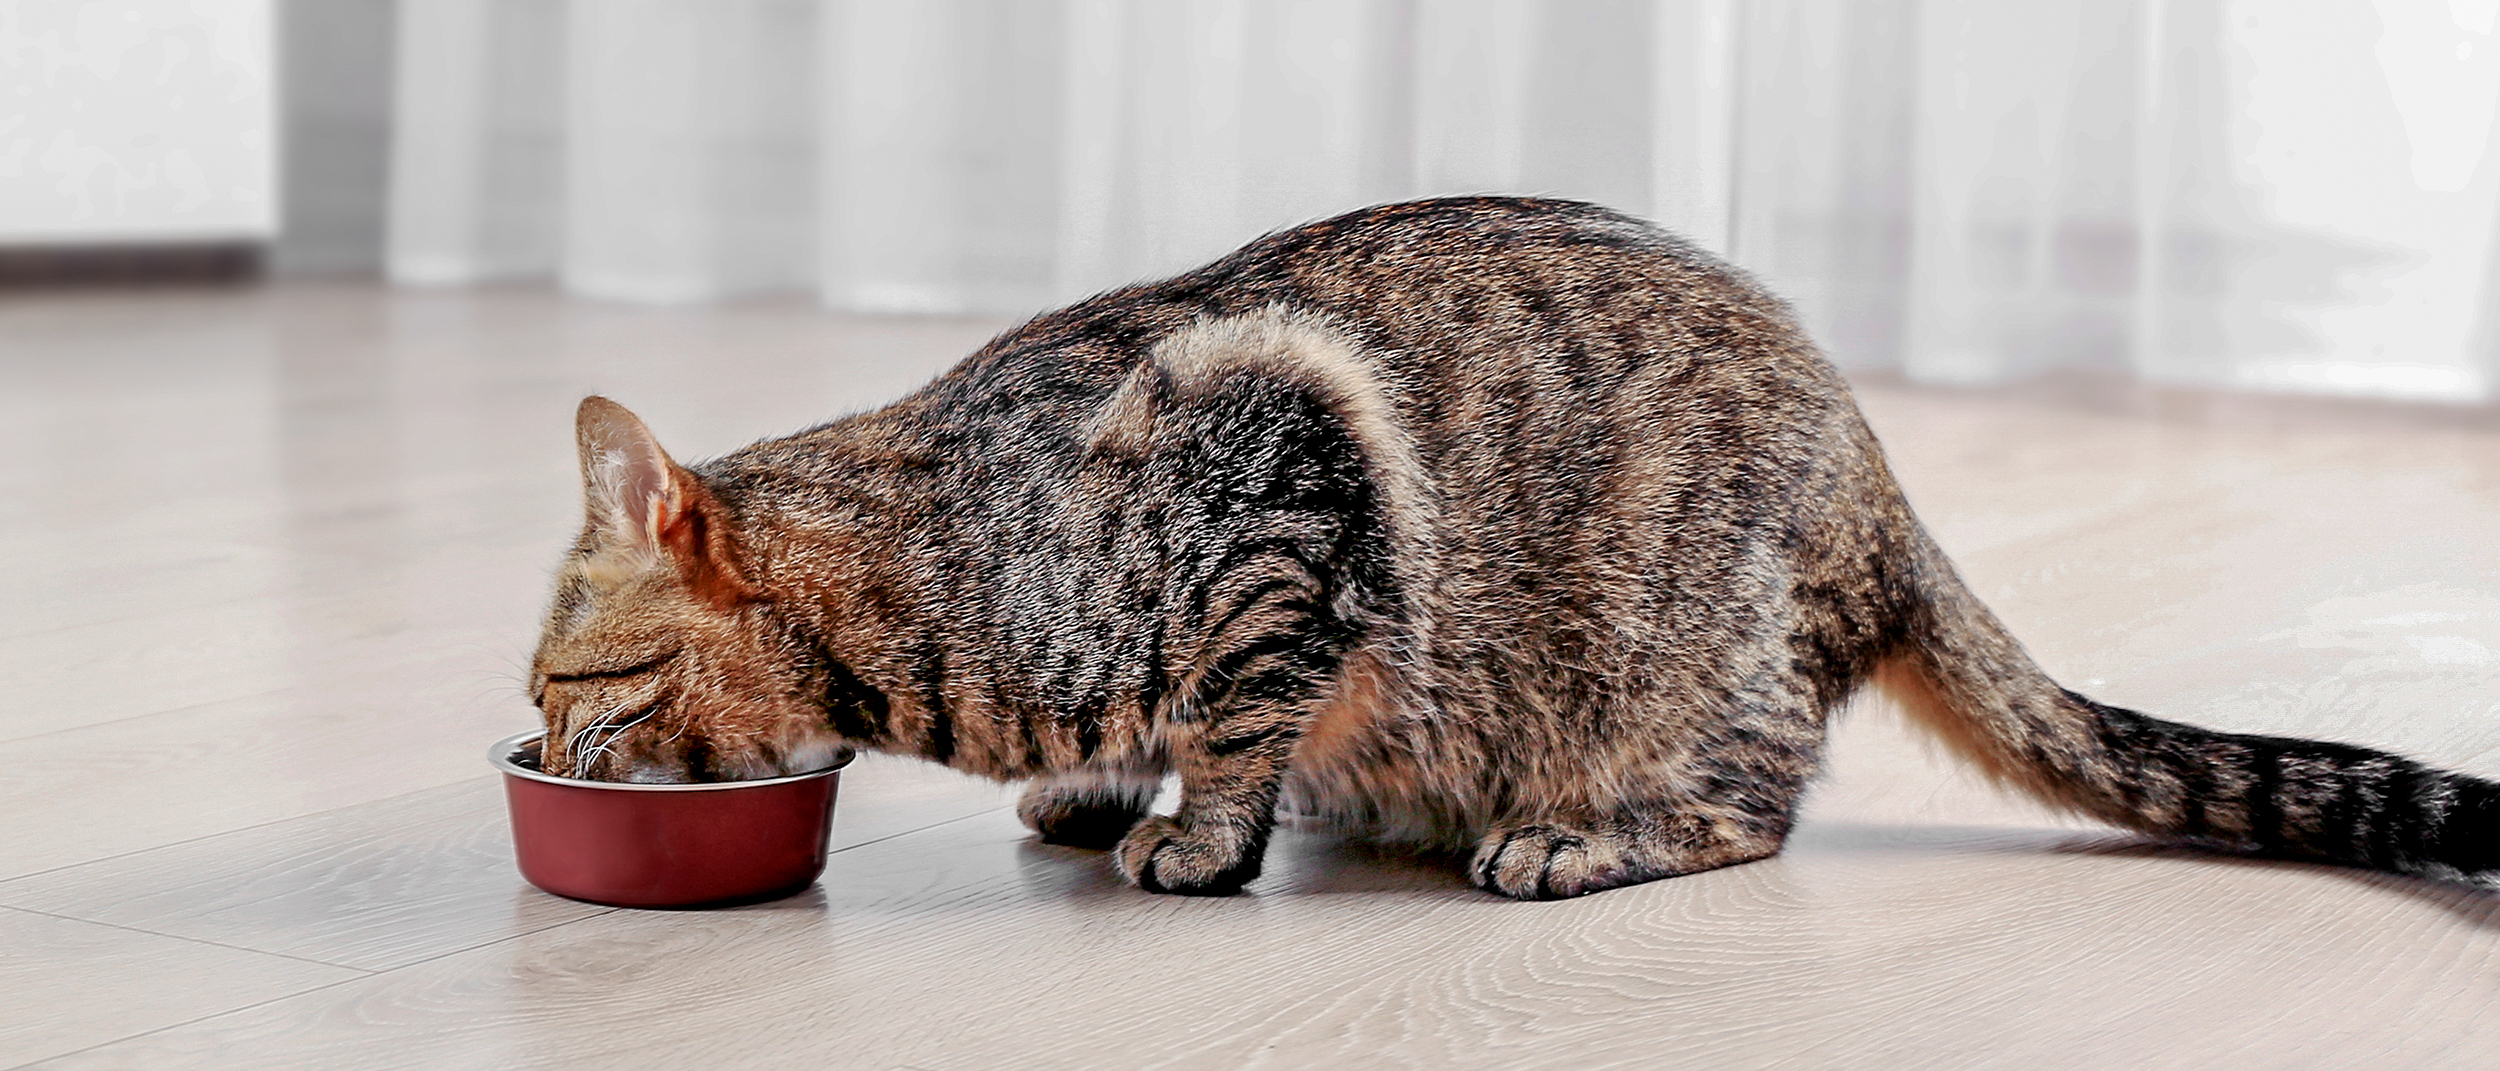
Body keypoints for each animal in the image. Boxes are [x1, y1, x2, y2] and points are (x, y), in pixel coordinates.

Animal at [517, 196, 2490, 900]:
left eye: (551, 681)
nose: (531, 748)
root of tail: (1878, 480)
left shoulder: (1283, 491)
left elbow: (1234, 712)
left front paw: (1193, 837)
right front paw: (1099, 792)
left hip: (1682, 660)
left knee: (1753, 808)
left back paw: (1576, 839)